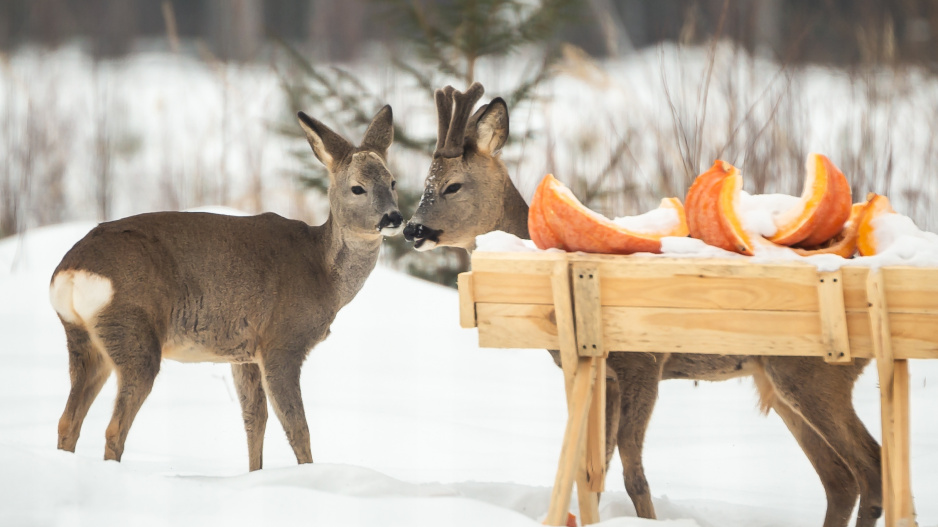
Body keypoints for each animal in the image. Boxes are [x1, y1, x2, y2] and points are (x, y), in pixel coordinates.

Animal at [50, 105, 402, 472]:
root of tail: (71, 269)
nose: (394, 218)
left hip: (84, 339)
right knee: (113, 428)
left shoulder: (244, 351)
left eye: (393, 181)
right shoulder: (281, 341)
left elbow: (254, 421)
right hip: (133, 332)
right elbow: (297, 428)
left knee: (67, 421)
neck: (322, 272)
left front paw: (255, 475)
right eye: (357, 188)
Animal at [404, 83, 884, 527]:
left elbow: (633, 471)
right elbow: (596, 468)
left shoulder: (643, 362)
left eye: (452, 186)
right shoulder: (607, 375)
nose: (412, 228)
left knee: (869, 464)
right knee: (840, 479)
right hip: (781, 382)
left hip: (815, 374)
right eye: (425, 182)